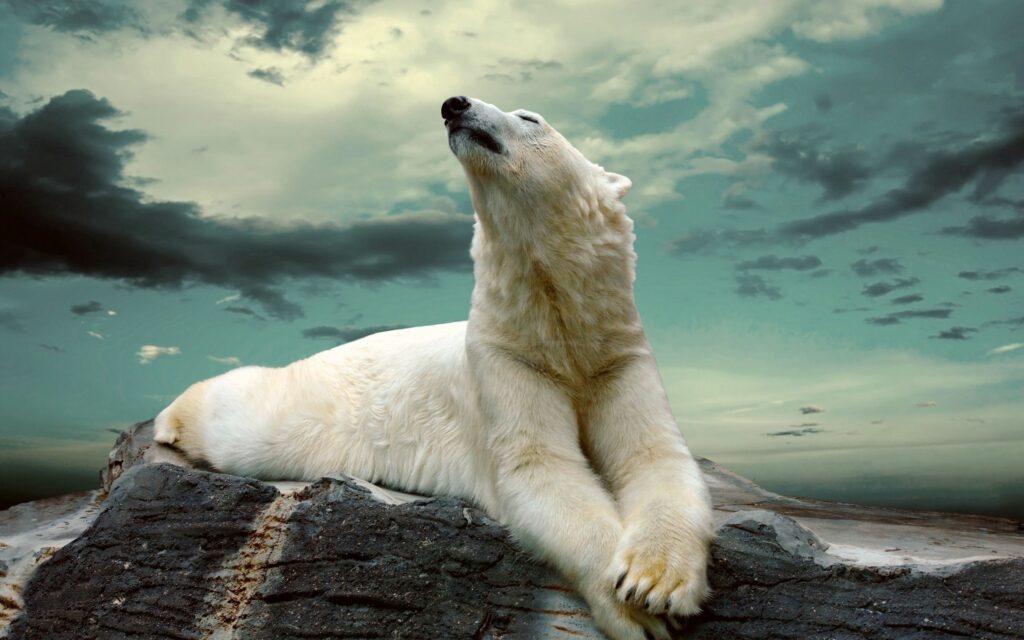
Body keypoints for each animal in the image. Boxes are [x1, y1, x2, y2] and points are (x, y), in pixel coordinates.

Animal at [154, 96, 713, 640]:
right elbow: (540, 468)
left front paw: (654, 582)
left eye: (530, 117)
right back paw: (169, 421)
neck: (557, 327)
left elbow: (654, 456)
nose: (454, 104)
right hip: (308, 406)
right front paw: (634, 607)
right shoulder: (504, 359)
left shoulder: (616, 355)